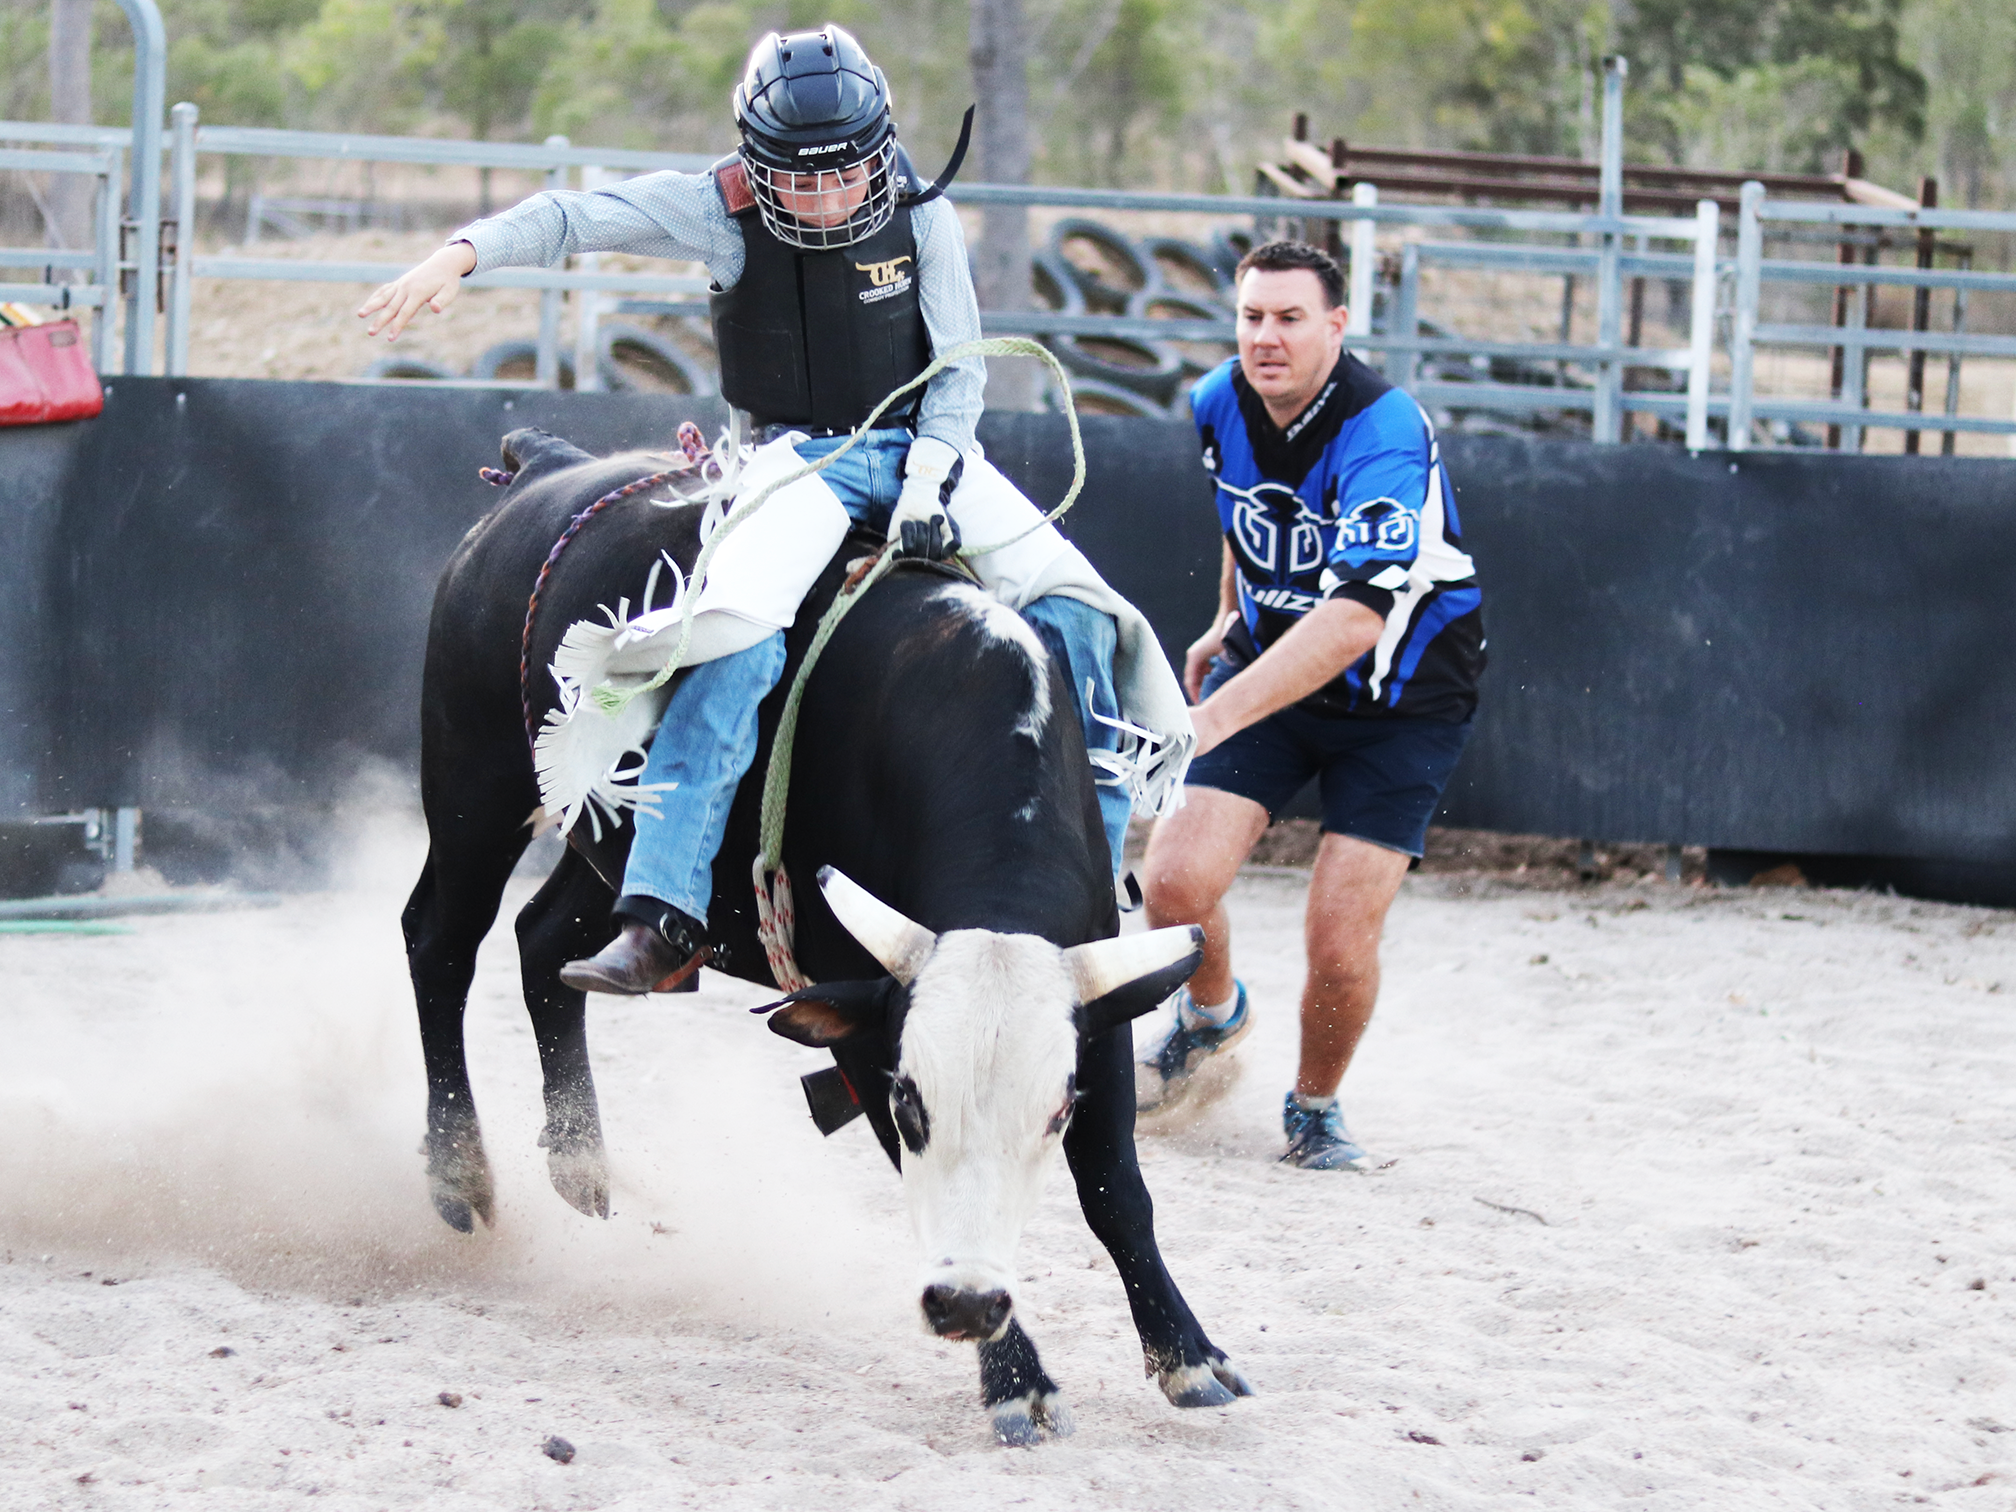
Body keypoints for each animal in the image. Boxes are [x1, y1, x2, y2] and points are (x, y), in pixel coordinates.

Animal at [403, 429, 1249, 1443]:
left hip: (604, 834)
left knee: (545, 944)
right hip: (474, 786)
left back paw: (580, 1160)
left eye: (1055, 1112)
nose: (969, 1304)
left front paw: (1189, 1354)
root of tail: (543, 466)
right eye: (913, 1102)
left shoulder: (1100, 1000)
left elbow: (1117, 1186)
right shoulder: (864, 1029)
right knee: (440, 944)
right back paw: (459, 1178)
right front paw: (1016, 1377)